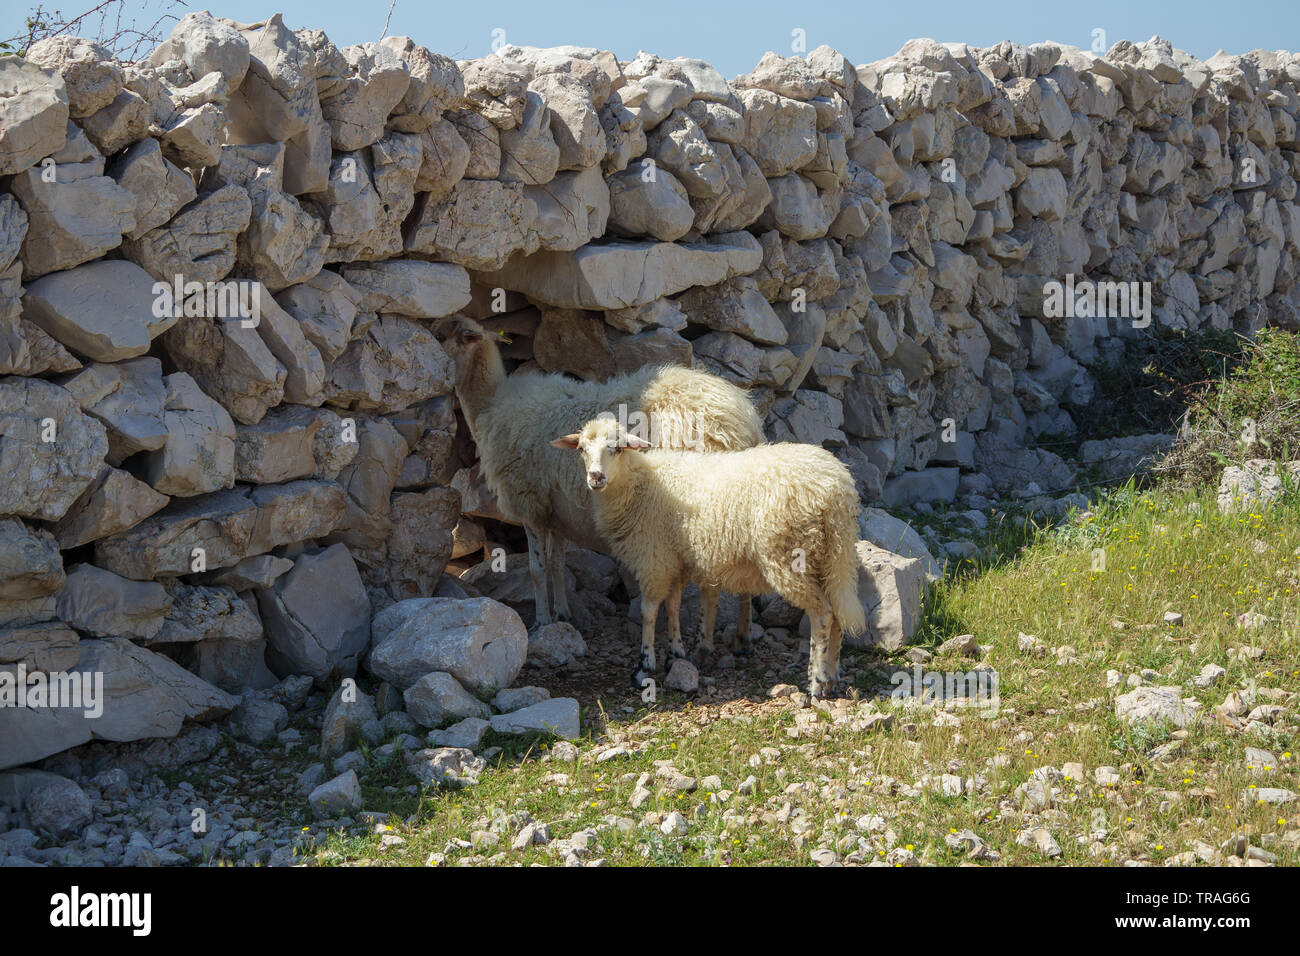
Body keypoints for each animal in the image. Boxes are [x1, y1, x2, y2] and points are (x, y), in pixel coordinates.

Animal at [434, 316, 759, 650]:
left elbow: (537, 569)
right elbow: (557, 563)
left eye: (440, 336)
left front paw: (542, 620)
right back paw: (743, 634)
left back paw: (707, 639)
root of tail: (739, 421)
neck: (490, 404)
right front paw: (562, 613)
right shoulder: (556, 510)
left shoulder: (529, 500)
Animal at [548, 416, 863, 697]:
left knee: (822, 614)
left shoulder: (654, 559)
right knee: (837, 613)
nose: (596, 478)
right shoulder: (675, 560)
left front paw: (644, 665)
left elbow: (649, 612)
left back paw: (817, 682)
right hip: (832, 556)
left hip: (791, 556)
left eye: (617, 448)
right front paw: (675, 654)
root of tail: (837, 490)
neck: (639, 485)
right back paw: (832, 677)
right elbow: (673, 606)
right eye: (581, 449)